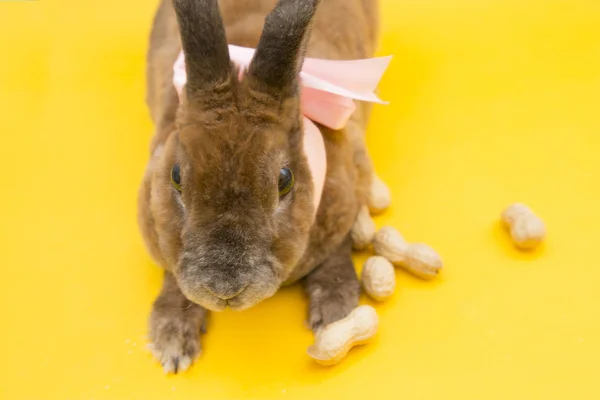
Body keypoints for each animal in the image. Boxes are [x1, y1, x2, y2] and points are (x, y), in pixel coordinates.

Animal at [138, 0, 380, 374]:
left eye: (284, 179)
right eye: (176, 175)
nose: (224, 289)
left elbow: (337, 249)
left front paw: (334, 309)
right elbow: (171, 278)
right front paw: (173, 341)